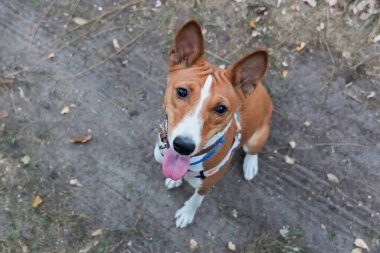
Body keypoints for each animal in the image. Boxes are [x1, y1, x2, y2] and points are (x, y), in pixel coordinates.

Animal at [153, 19, 272, 228]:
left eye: (221, 109)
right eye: (182, 92)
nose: (183, 146)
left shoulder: (206, 185)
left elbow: (196, 200)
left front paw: (187, 213)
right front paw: (174, 180)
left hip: (255, 137)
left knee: (253, 150)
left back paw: (250, 165)